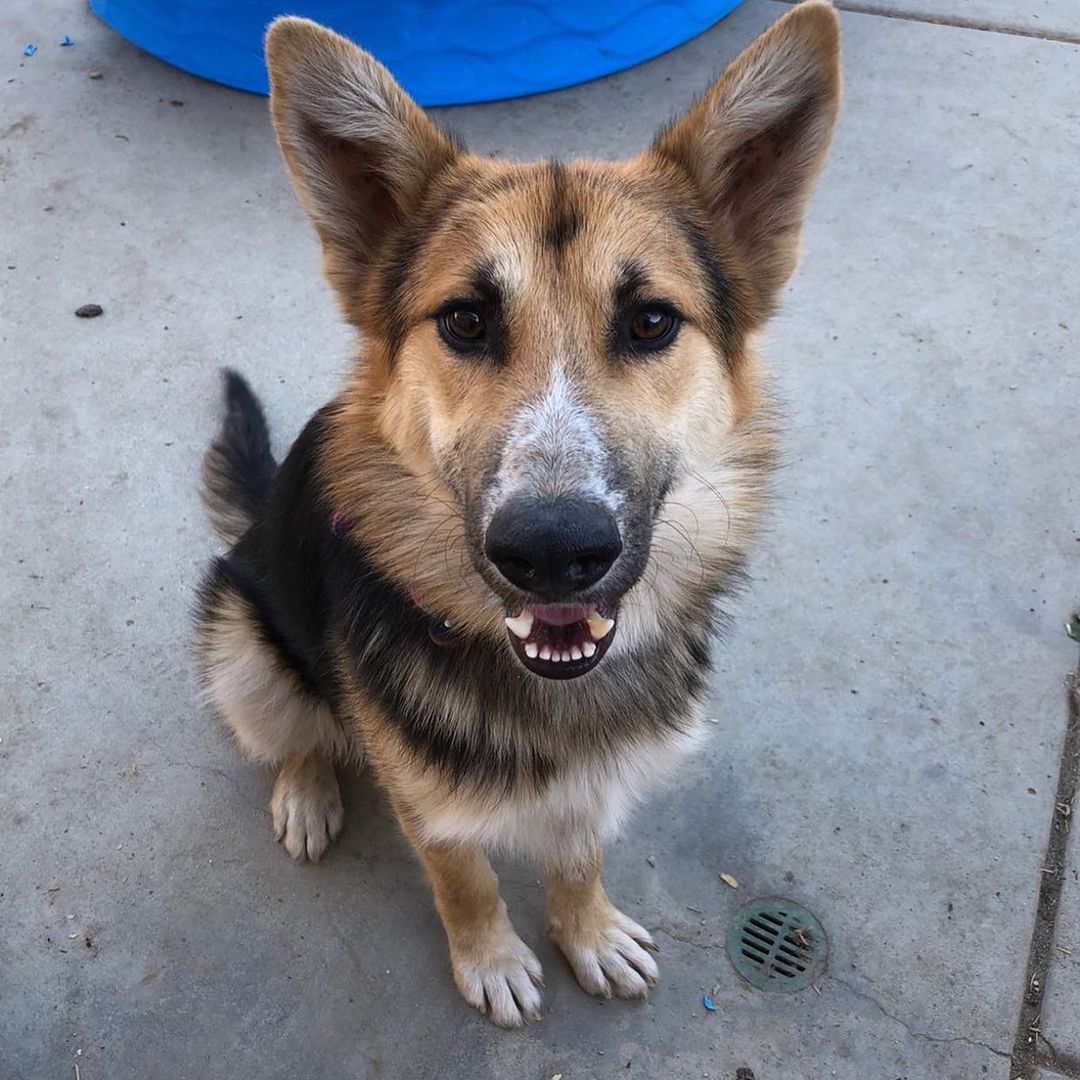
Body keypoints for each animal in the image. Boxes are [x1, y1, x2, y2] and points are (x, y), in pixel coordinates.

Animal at [196, 2, 842, 1028]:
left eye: (651, 322)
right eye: (465, 321)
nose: (551, 553)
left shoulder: (594, 779)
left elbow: (578, 854)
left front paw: (586, 928)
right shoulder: (426, 803)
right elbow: (463, 878)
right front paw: (491, 957)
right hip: (239, 640)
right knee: (288, 730)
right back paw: (306, 788)